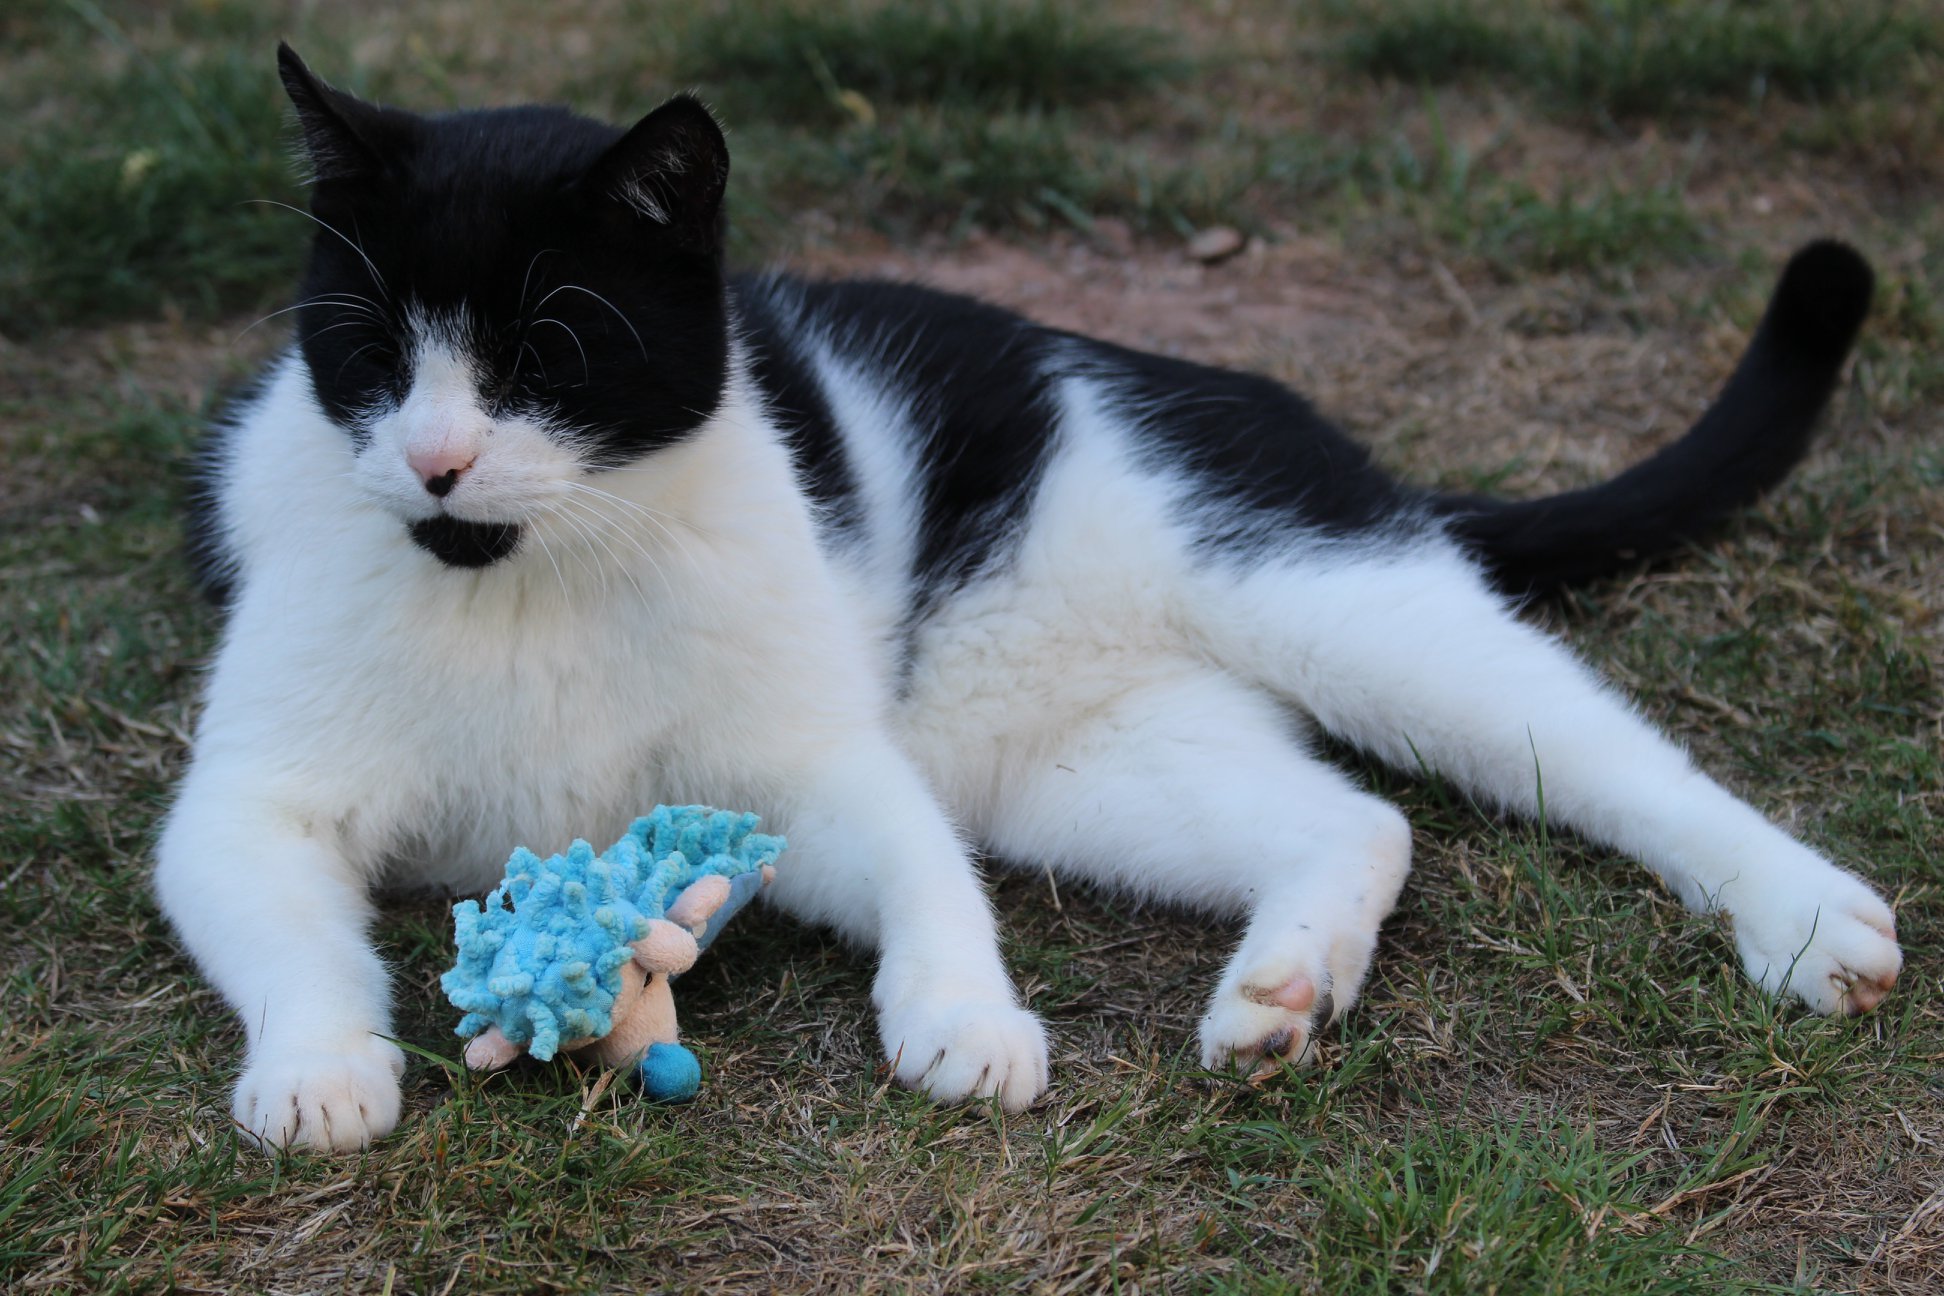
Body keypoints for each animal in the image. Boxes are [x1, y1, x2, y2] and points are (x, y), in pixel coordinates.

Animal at [151, 45, 1897, 1150]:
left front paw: (966, 1022)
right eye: (372, 353)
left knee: (1617, 761)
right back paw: (1283, 994)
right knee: (1359, 820)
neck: (533, 586)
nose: (437, 463)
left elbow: (931, 885)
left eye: (549, 355)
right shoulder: (244, 808)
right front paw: (320, 1073)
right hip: (1080, 760)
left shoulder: (817, 769)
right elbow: (299, 943)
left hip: (1343, 601)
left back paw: (1813, 921)